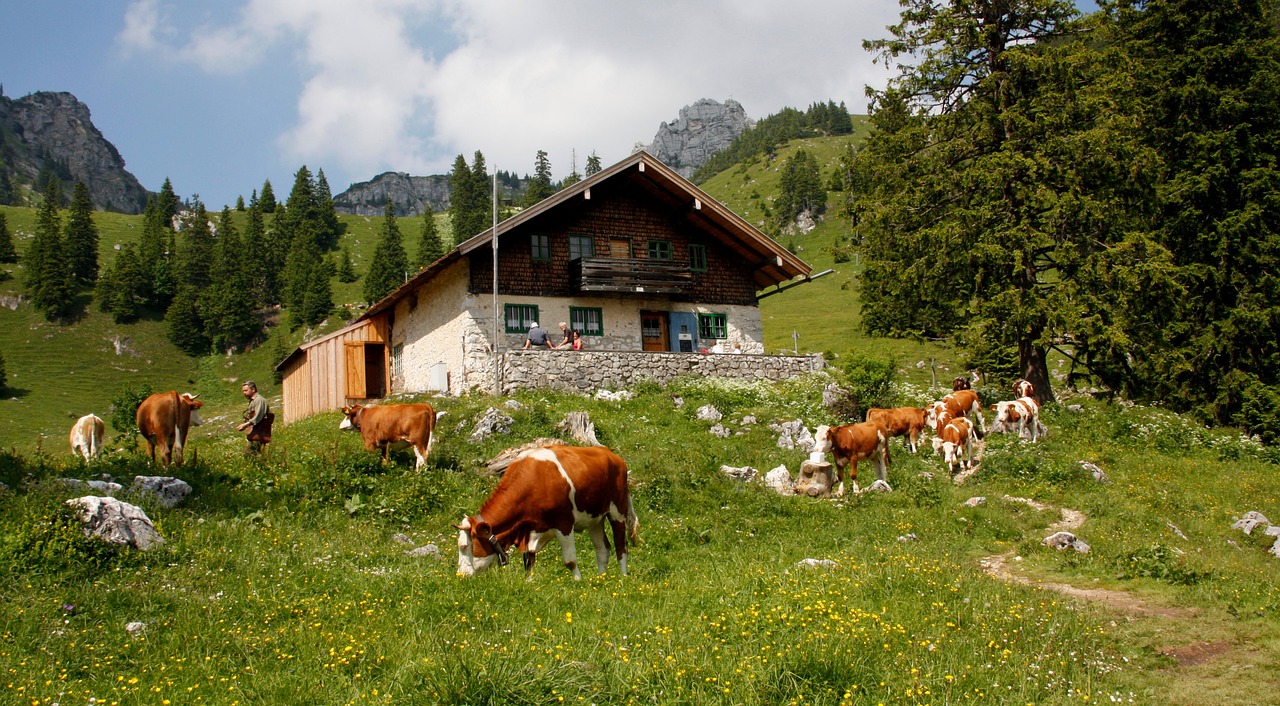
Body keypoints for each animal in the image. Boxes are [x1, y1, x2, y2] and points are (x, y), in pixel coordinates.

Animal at [460, 447, 640, 578]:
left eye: (465, 546)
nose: (461, 575)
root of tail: (612, 455)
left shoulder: (564, 524)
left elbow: (570, 561)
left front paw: (578, 582)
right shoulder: (529, 529)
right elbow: (529, 560)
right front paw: (528, 582)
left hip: (618, 511)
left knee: (621, 546)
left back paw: (623, 578)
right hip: (595, 519)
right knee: (602, 548)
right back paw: (601, 579)